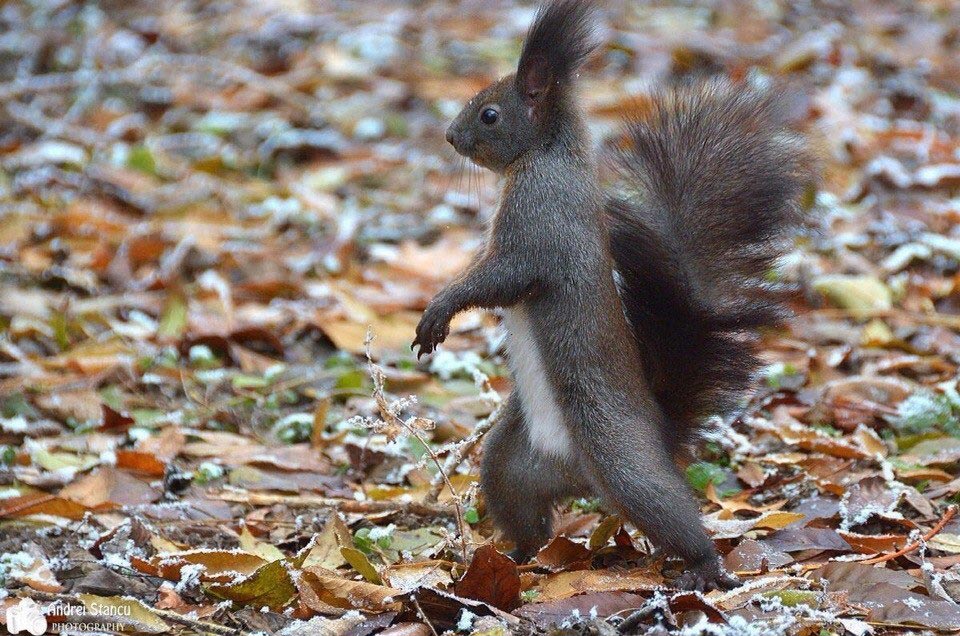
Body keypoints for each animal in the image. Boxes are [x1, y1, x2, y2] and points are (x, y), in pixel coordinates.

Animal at [412, 0, 808, 592]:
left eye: (490, 115)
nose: (450, 137)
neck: (546, 156)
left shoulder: (539, 225)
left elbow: (502, 278)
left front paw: (439, 311)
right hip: (511, 463)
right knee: (527, 514)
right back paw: (512, 560)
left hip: (622, 459)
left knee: (668, 509)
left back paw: (701, 568)